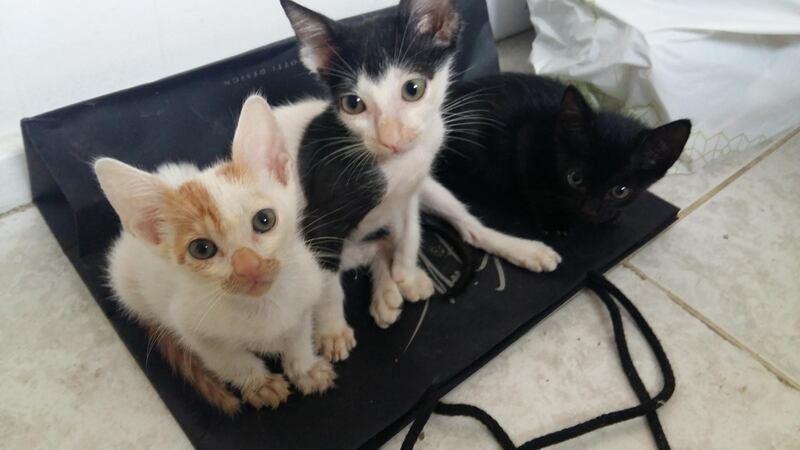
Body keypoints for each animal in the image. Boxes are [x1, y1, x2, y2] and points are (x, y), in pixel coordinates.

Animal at [96, 96, 334, 414]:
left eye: (264, 220)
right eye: (202, 249)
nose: (249, 266)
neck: (262, 308)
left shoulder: (305, 293)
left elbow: (298, 335)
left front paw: (305, 368)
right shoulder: (192, 325)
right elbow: (230, 361)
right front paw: (260, 384)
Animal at [278, 0, 560, 342]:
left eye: (413, 89)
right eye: (352, 104)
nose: (391, 139)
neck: (395, 166)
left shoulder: (413, 187)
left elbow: (410, 230)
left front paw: (407, 274)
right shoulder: (319, 224)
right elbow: (328, 283)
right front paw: (332, 330)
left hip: (433, 191)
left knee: (466, 229)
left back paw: (522, 250)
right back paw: (384, 294)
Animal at [434, 73, 692, 236]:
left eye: (620, 191)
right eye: (575, 178)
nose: (589, 210)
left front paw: (609, 216)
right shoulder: (527, 138)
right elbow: (534, 185)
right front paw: (553, 219)